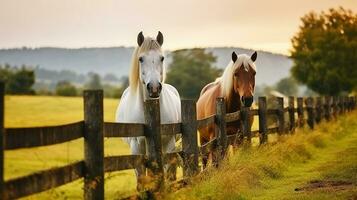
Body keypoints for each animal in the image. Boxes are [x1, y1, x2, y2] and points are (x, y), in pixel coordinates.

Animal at [114, 31, 181, 181]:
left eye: (162, 58)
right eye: (141, 59)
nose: (154, 88)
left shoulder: (169, 144)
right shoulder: (136, 149)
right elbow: (141, 177)